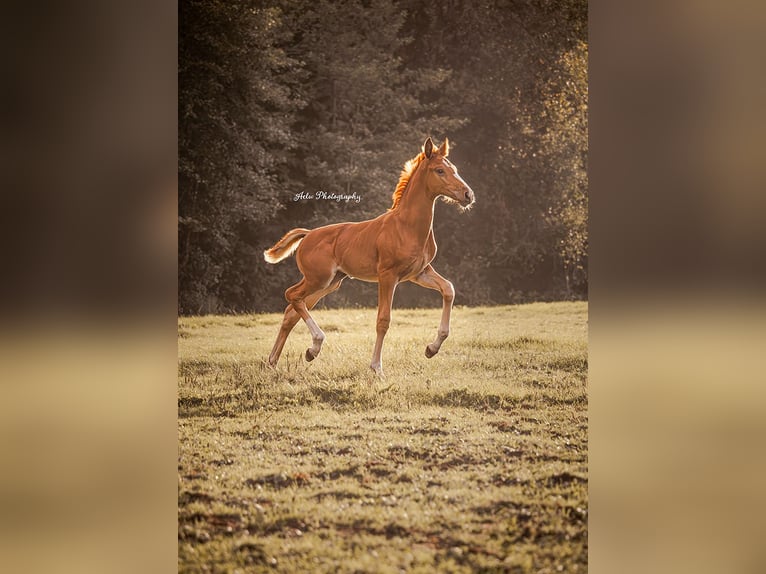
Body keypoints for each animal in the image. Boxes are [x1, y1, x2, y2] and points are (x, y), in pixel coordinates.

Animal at [264, 139, 474, 378]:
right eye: (439, 170)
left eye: (454, 169)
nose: (468, 195)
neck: (406, 227)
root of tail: (308, 235)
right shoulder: (388, 276)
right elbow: (383, 320)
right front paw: (376, 368)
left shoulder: (419, 272)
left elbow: (448, 289)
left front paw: (431, 348)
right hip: (318, 279)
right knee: (291, 295)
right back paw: (314, 345)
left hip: (329, 283)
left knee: (291, 310)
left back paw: (278, 360)